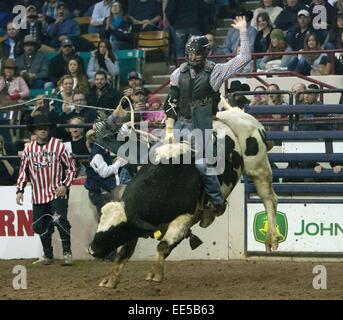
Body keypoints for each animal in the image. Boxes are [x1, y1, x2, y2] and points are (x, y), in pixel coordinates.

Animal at [87, 108, 280, 288]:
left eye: (116, 231)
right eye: (100, 223)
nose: (91, 250)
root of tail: (239, 114)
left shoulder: (185, 218)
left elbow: (163, 246)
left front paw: (155, 274)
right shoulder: (136, 221)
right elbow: (124, 252)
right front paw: (111, 279)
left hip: (259, 167)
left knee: (269, 199)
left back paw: (271, 239)